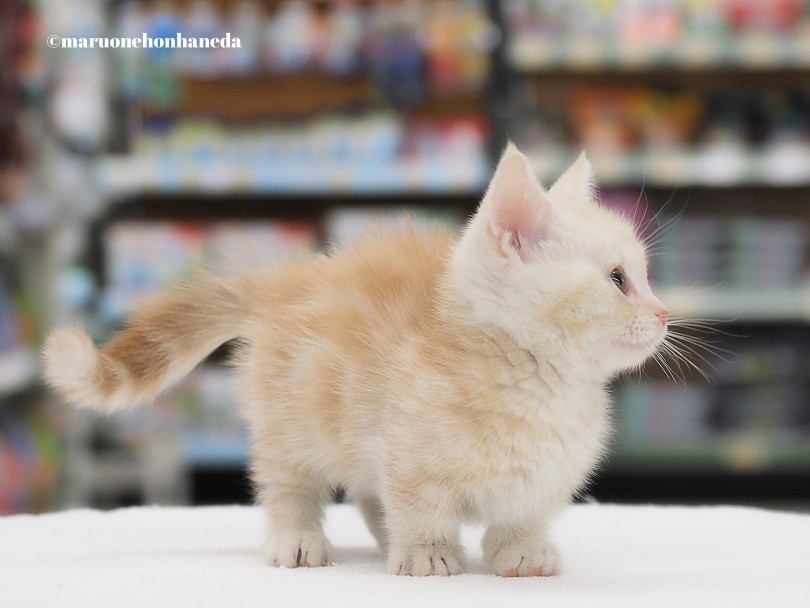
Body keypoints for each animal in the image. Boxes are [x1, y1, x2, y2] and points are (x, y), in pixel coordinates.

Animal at [41, 145, 664, 576]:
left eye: (645, 276)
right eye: (618, 279)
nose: (662, 314)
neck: (537, 380)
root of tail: (288, 277)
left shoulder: (542, 474)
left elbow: (522, 513)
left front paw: (522, 551)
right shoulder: (407, 451)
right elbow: (418, 504)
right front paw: (427, 553)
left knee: (367, 494)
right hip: (293, 418)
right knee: (289, 485)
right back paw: (299, 539)